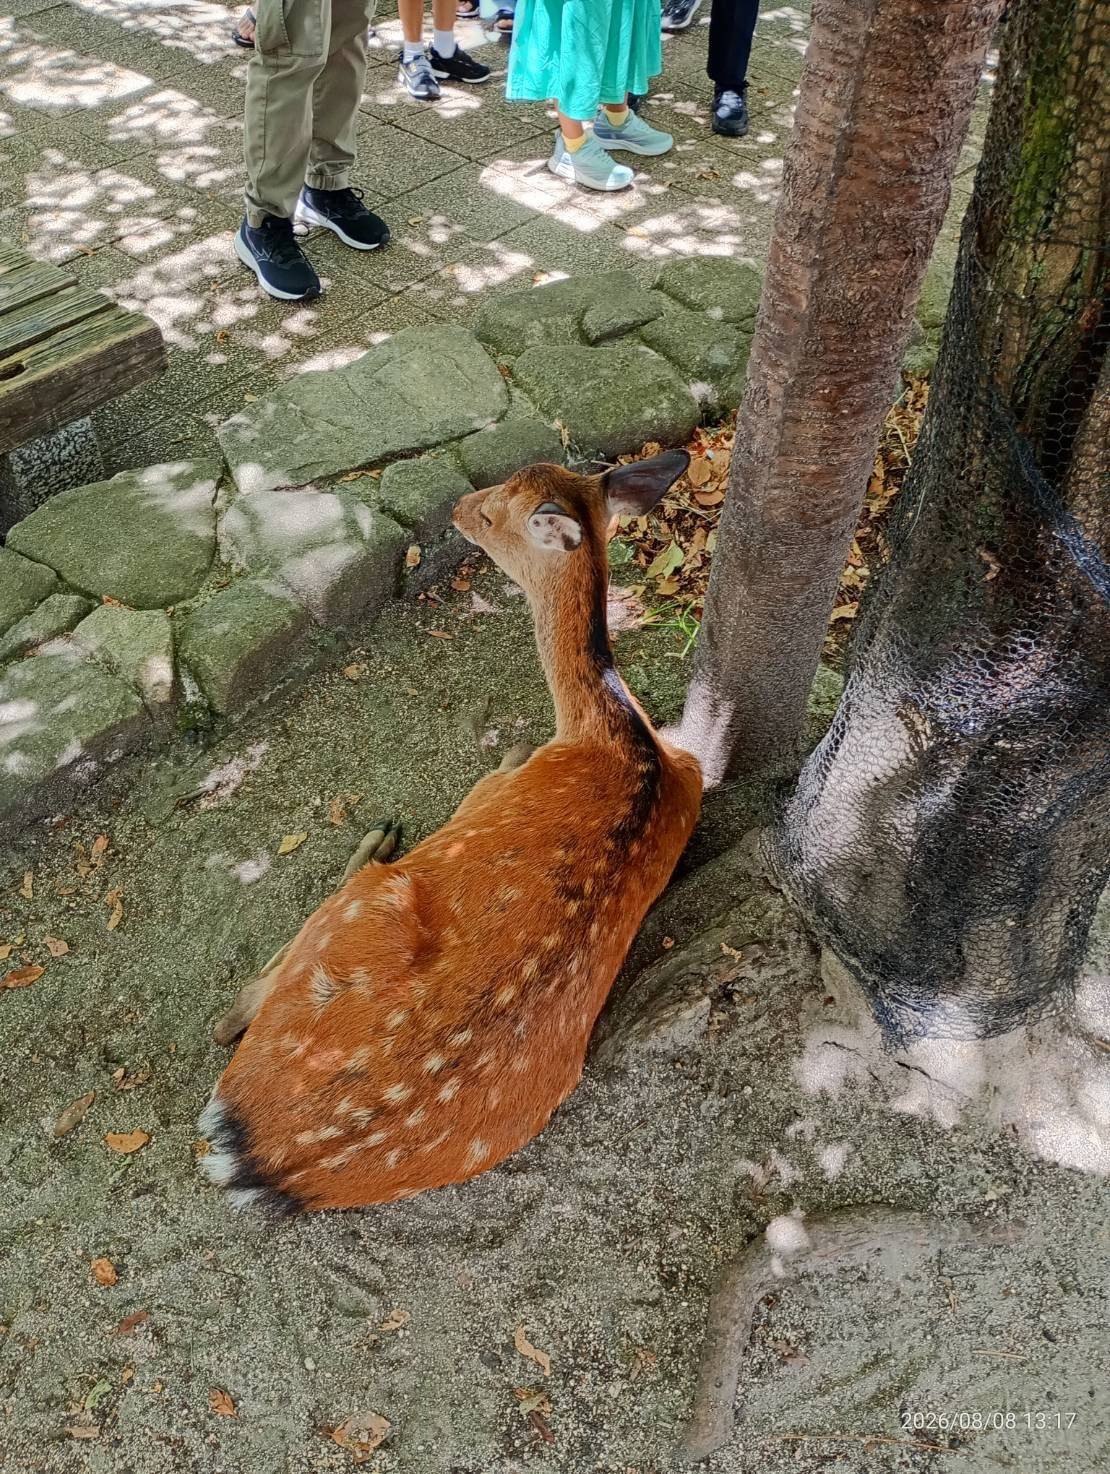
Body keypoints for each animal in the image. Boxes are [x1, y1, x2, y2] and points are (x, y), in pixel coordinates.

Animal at [198, 450, 702, 1213]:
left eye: (492, 514)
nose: (460, 507)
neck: (617, 732)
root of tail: (266, 1157)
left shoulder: (481, 797)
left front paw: (508, 749)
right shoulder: (693, 777)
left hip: (363, 906)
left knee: (252, 998)